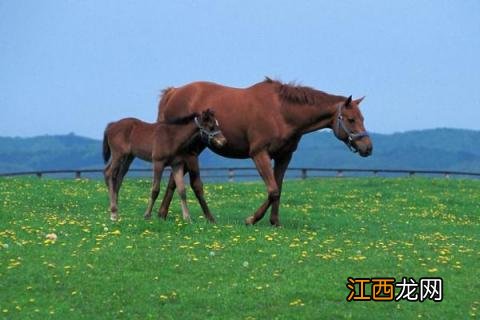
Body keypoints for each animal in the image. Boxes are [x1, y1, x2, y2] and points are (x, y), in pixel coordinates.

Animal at [157, 78, 372, 226]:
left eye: (362, 118)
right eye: (351, 119)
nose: (368, 148)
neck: (281, 112)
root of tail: (173, 92)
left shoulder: (284, 157)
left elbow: (278, 188)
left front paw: (275, 222)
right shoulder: (259, 154)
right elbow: (273, 190)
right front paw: (252, 219)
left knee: (173, 181)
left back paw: (162, 214)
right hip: (192, 150)